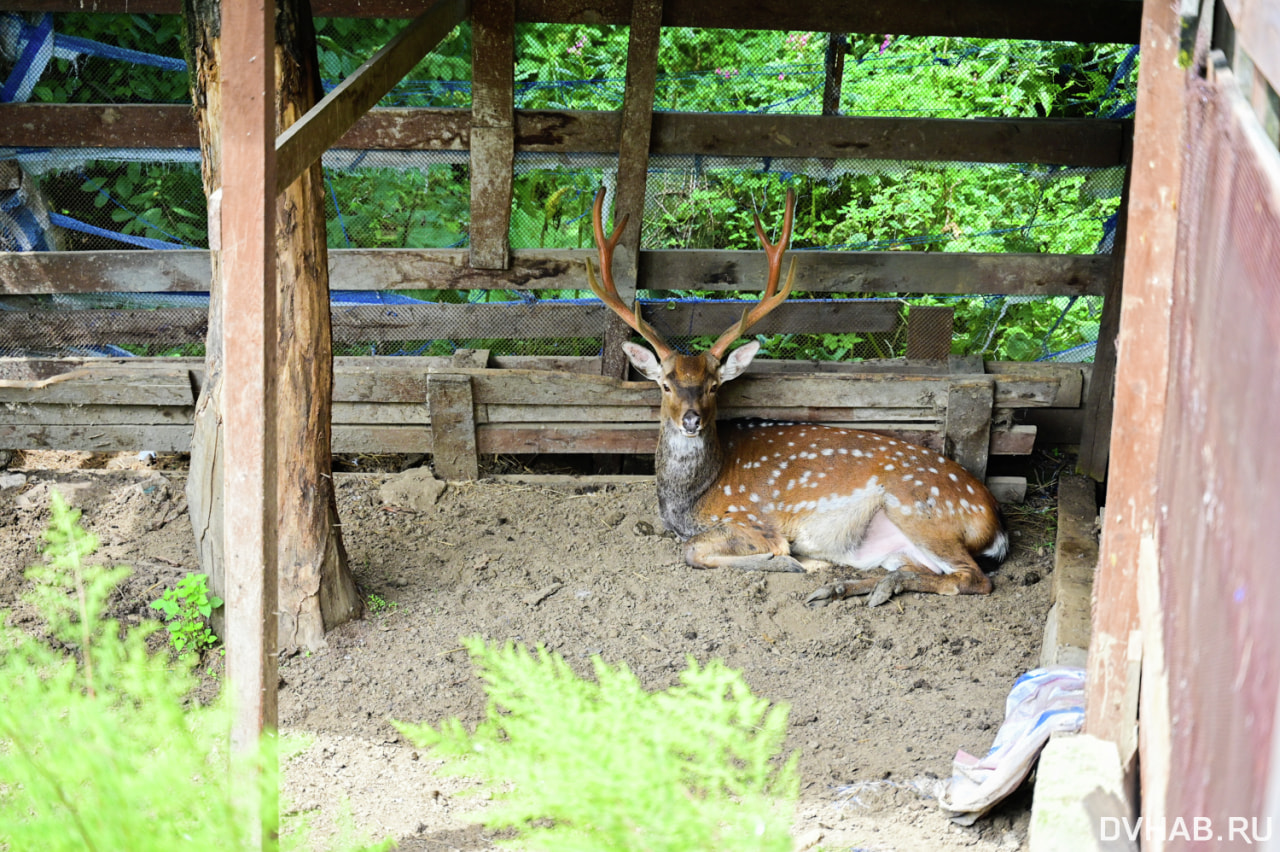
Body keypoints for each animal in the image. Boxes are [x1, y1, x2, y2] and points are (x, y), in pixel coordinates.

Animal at [586, 189, 1003, 606]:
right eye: (666, 385)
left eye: (714, 385)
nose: (691, 419)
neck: (690, 502)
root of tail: (994, 521)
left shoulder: (753, 519)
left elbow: (697, 551)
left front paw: (789, 561)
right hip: (894, 544)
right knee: (920, 569)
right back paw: (846, 586)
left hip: (920, 509)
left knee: (974, 578)